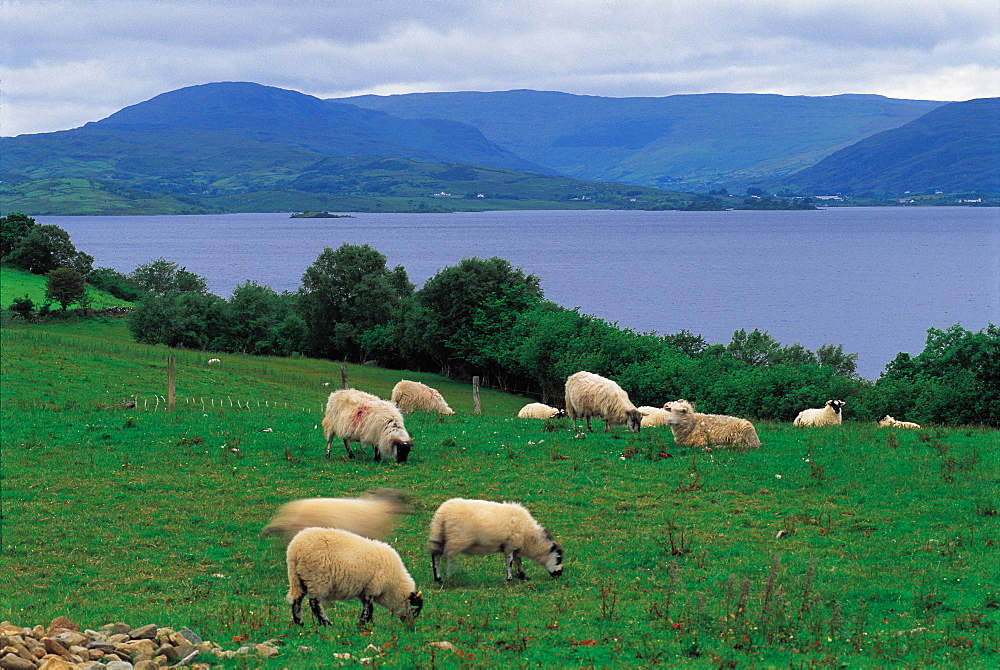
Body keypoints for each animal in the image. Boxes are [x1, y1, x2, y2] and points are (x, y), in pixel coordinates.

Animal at [286, 532, 422, 632]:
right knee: (314, 602)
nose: (411, 626)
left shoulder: (365, 591)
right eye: (414, 607)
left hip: (298, 579)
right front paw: (362, 625)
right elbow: (367, 608)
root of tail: (295, 550)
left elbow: (369, 608)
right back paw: (326, 623)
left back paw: (300, 624)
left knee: (296, 601)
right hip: (317, 579)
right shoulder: (373, 587)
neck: (394, 586)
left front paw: (369, 624)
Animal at [426, 496, 564, 584]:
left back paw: (438, 579)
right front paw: (509, 579)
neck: (529, 537)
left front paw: (524, 577)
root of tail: (442, 513)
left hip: (438, 536)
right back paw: (450, 575)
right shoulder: (509, 546)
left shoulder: (515, 547)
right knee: (447, 557)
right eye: (558, 559)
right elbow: (509, 562)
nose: (559, 574)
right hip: (456, 539)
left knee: (436, 557)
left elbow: (519, 562)